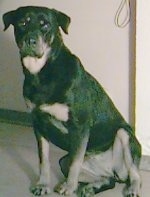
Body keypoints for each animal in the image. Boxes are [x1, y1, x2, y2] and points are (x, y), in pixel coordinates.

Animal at [2, 6, 142, 197]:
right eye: (22, 22)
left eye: (45, 25)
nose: (30, 40)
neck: (42, 72)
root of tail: (111, 169)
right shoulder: (38, 124)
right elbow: (43, 160)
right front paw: (43, 185)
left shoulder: (79, 125)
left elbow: (76, 163)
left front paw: (69, 189)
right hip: (64, 160)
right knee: (108, 179)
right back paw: (89, 187)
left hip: (124, 135)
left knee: (134, 173)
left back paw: (131, 188)